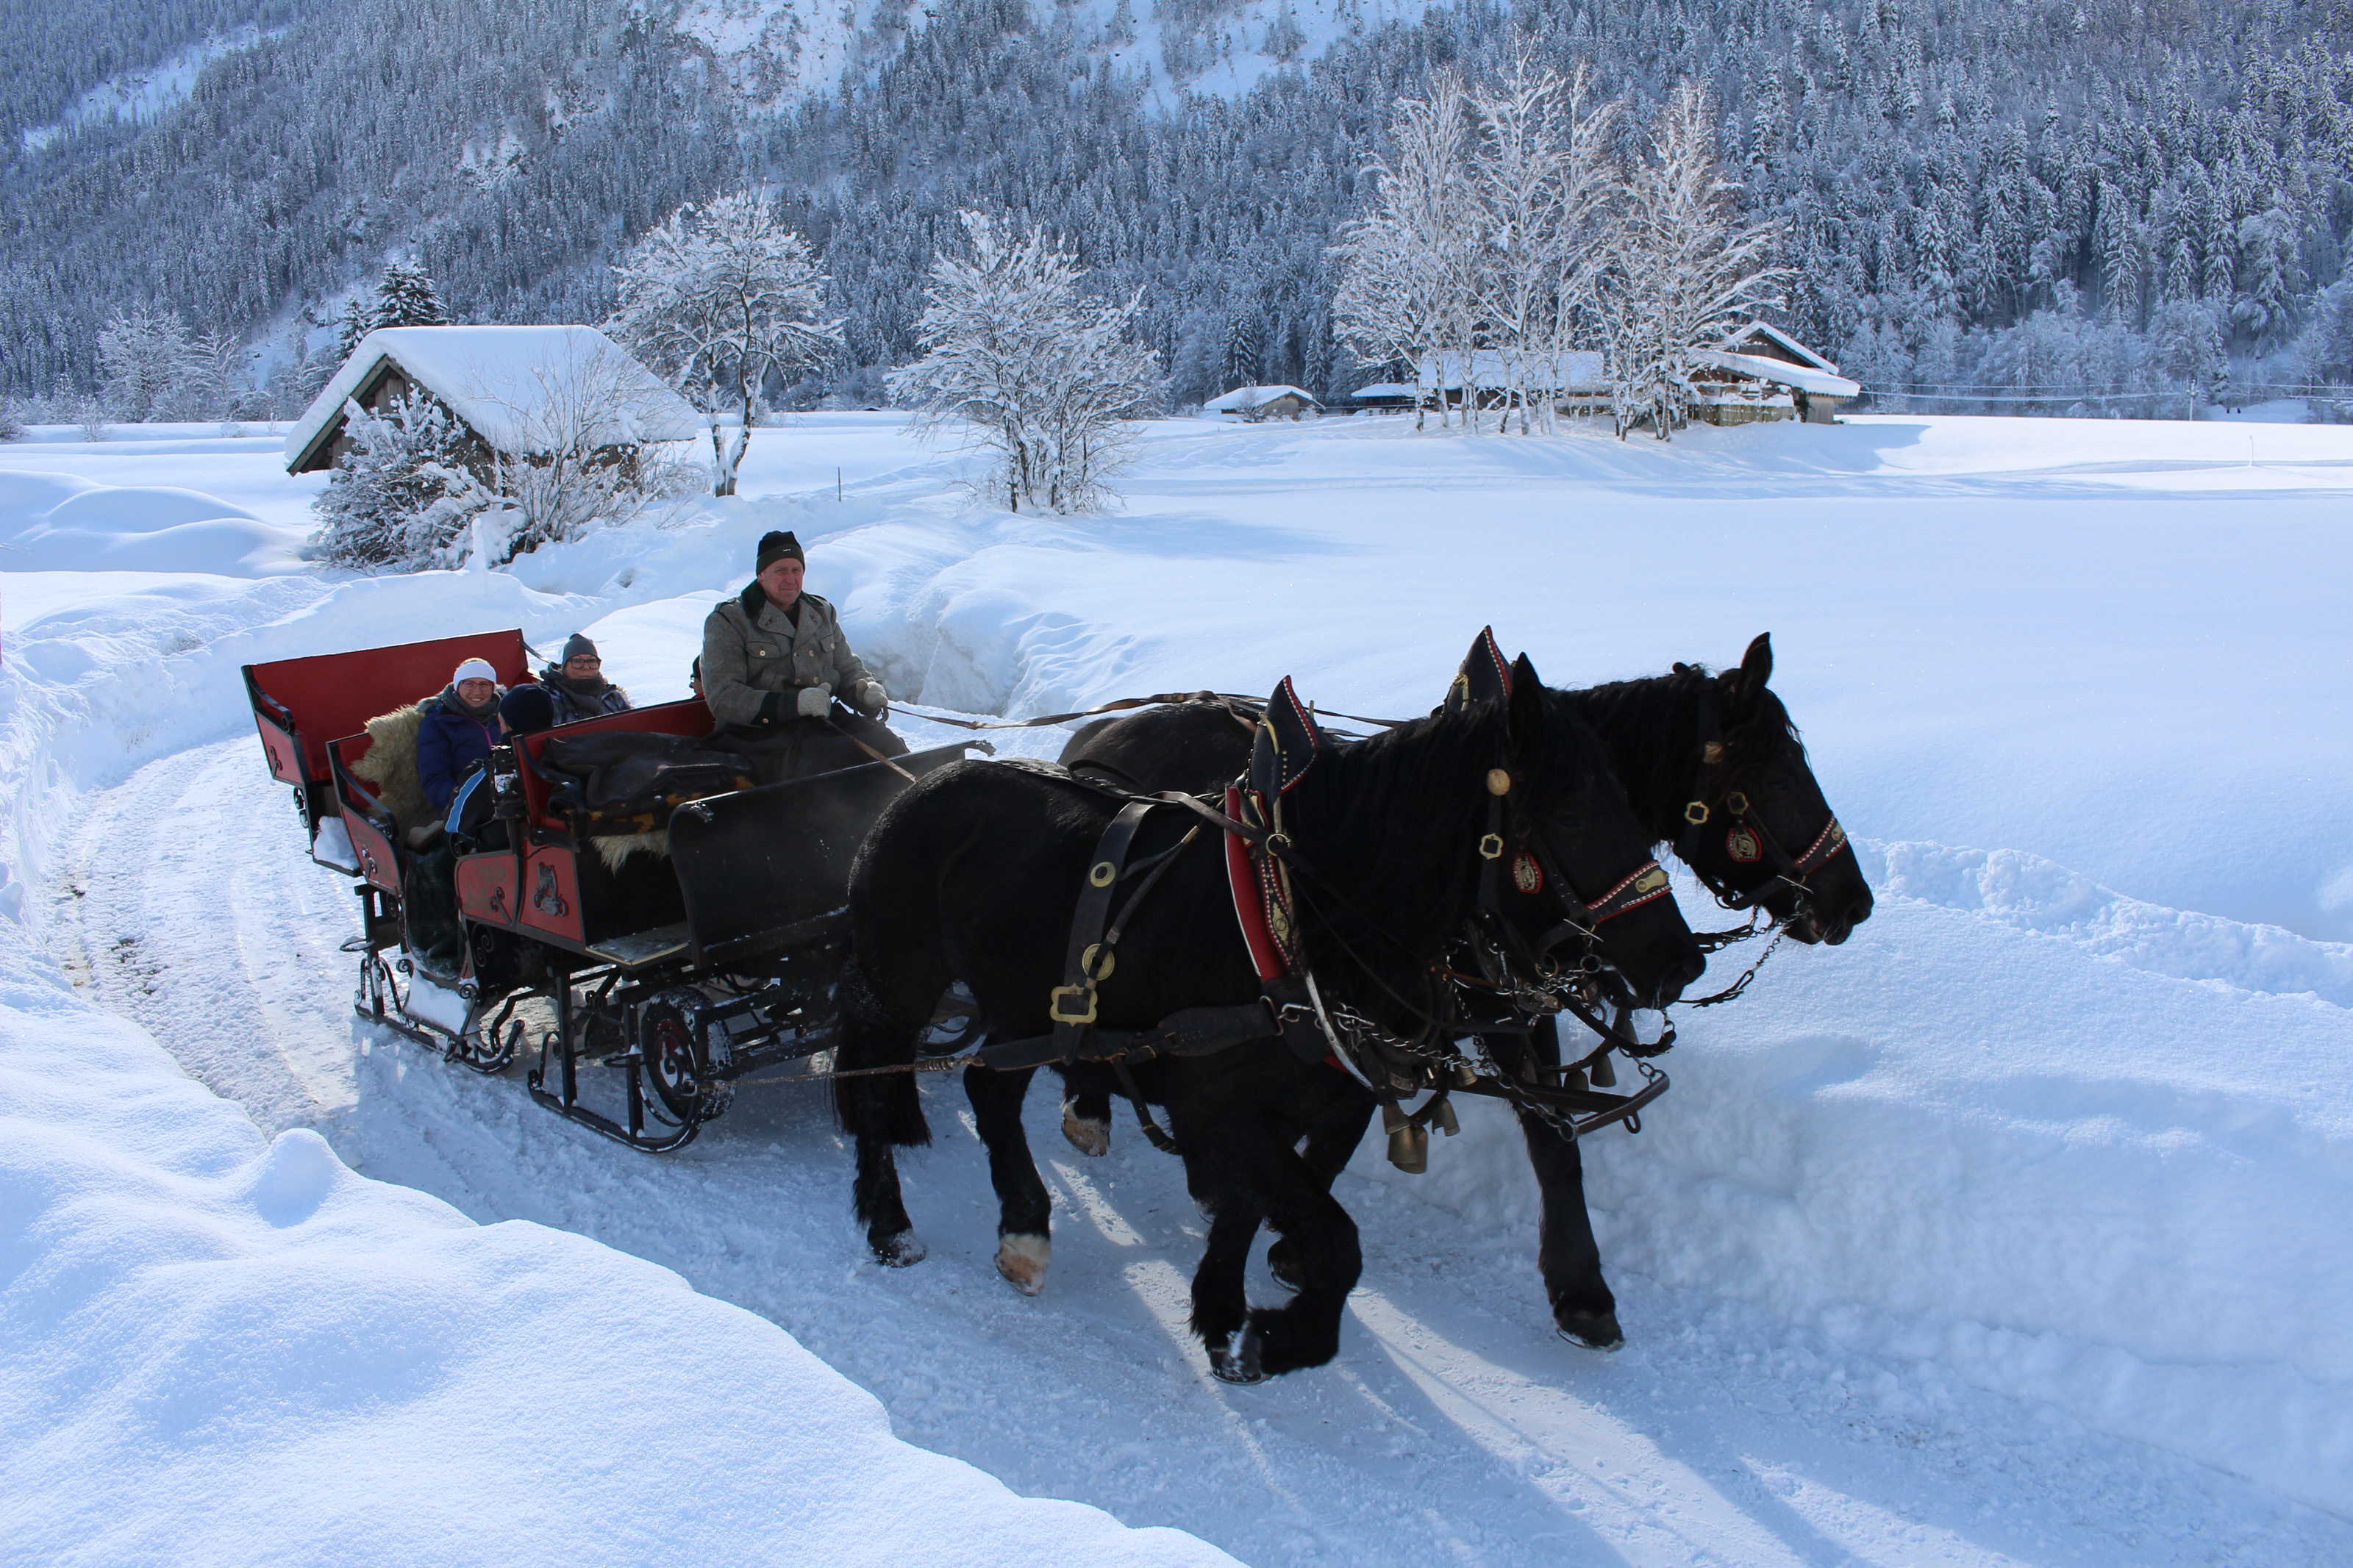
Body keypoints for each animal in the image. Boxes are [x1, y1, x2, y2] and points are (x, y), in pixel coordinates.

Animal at [832, 658, 1704, 1381]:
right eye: (1571, 816)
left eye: (1634, 806)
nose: (1679, 961)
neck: (1302, 924)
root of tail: (918, 785)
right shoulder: (1216, 1106)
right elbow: (1336, 1241)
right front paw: (1283, 1336)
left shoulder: (1297, 1108)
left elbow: (1256, 1209)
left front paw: (1222, 1313)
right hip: (898, 984)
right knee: (871, 1079)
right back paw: (889, 1222)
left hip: (1019, 1004)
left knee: (989, 1089)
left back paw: (1023, 1228)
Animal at [1054, 631, 1874, 1349]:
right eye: (1777, 775)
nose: (1854, 902)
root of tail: (1103, 731)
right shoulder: (1444, 1008)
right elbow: (1528, 1130)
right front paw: (1581, 1289)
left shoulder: (1485, 1005)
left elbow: (1534, 1130)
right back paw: (1089, 1105)